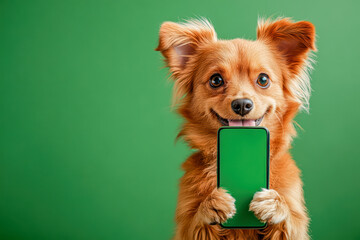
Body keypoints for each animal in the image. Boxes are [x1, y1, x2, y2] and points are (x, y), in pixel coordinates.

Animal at [155, 17, 316, 240]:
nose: (242, 104)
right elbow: (195, 223)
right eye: (216, 80)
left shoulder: (295, 222)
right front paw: (210, 204)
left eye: (263, 79)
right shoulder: (185, 226)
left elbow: (290, 221)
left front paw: (275, 204)